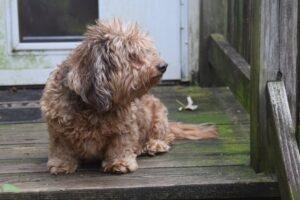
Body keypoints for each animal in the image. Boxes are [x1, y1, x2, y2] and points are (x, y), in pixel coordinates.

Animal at [40, 19, 218, 174]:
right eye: (132, 55)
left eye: (146, 50)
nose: (163, 66)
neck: (91, 106)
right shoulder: (58, 129)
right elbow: (62, 147)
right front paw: (61, 164)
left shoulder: (124, 127)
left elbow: (120, 144)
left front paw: (120, 163)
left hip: (159, 117)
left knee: (166, 135)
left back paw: (155, 144)